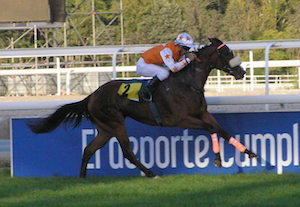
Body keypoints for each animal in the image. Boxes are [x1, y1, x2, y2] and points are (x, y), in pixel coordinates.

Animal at [28, 38, 258, 178]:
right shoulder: (180, 119)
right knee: (127, 151)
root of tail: (91, 96)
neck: (187, 83)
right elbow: (212, 129)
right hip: (116, 124)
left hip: (105, 129)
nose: (242, 73)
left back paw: (83, 177)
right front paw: (219, 159)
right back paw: (151, 173)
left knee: (89, 149)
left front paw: (249, 153)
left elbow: (221, 130)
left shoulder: (202, 113)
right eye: (226, 53)